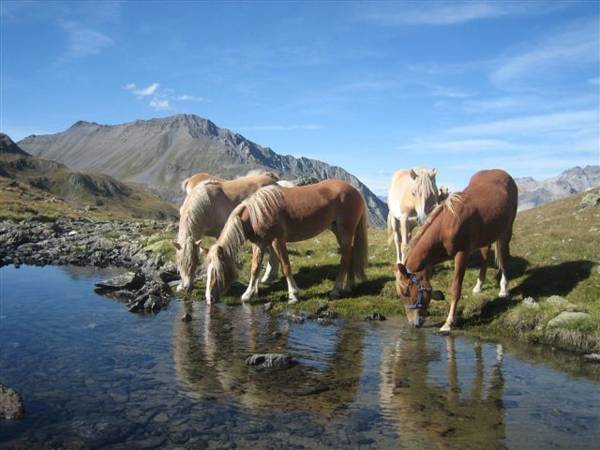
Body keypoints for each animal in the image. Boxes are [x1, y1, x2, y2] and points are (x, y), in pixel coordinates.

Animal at [204, 181, 368, 304]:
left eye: (216, 271)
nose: (209, 299)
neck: (256, 214)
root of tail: (356, 191)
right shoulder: (259, 244)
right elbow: (255, 268)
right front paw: (248, 295)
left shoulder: (277, 241)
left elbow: (286, 266)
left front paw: (293, 295)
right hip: (338, 231)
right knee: (350, 254)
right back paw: (349, 286)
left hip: (345, 231)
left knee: (345, 257)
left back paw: (336, 290)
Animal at [396, 169, 516, 330]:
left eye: (406, 291)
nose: (413, 324)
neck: (445, 225)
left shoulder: (461, 254)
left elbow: (455, 288)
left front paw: (448, 322)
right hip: (487, 235)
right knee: (485, 254)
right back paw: (479, 285)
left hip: (506, 230)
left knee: (504, 256)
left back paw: (504, 288)